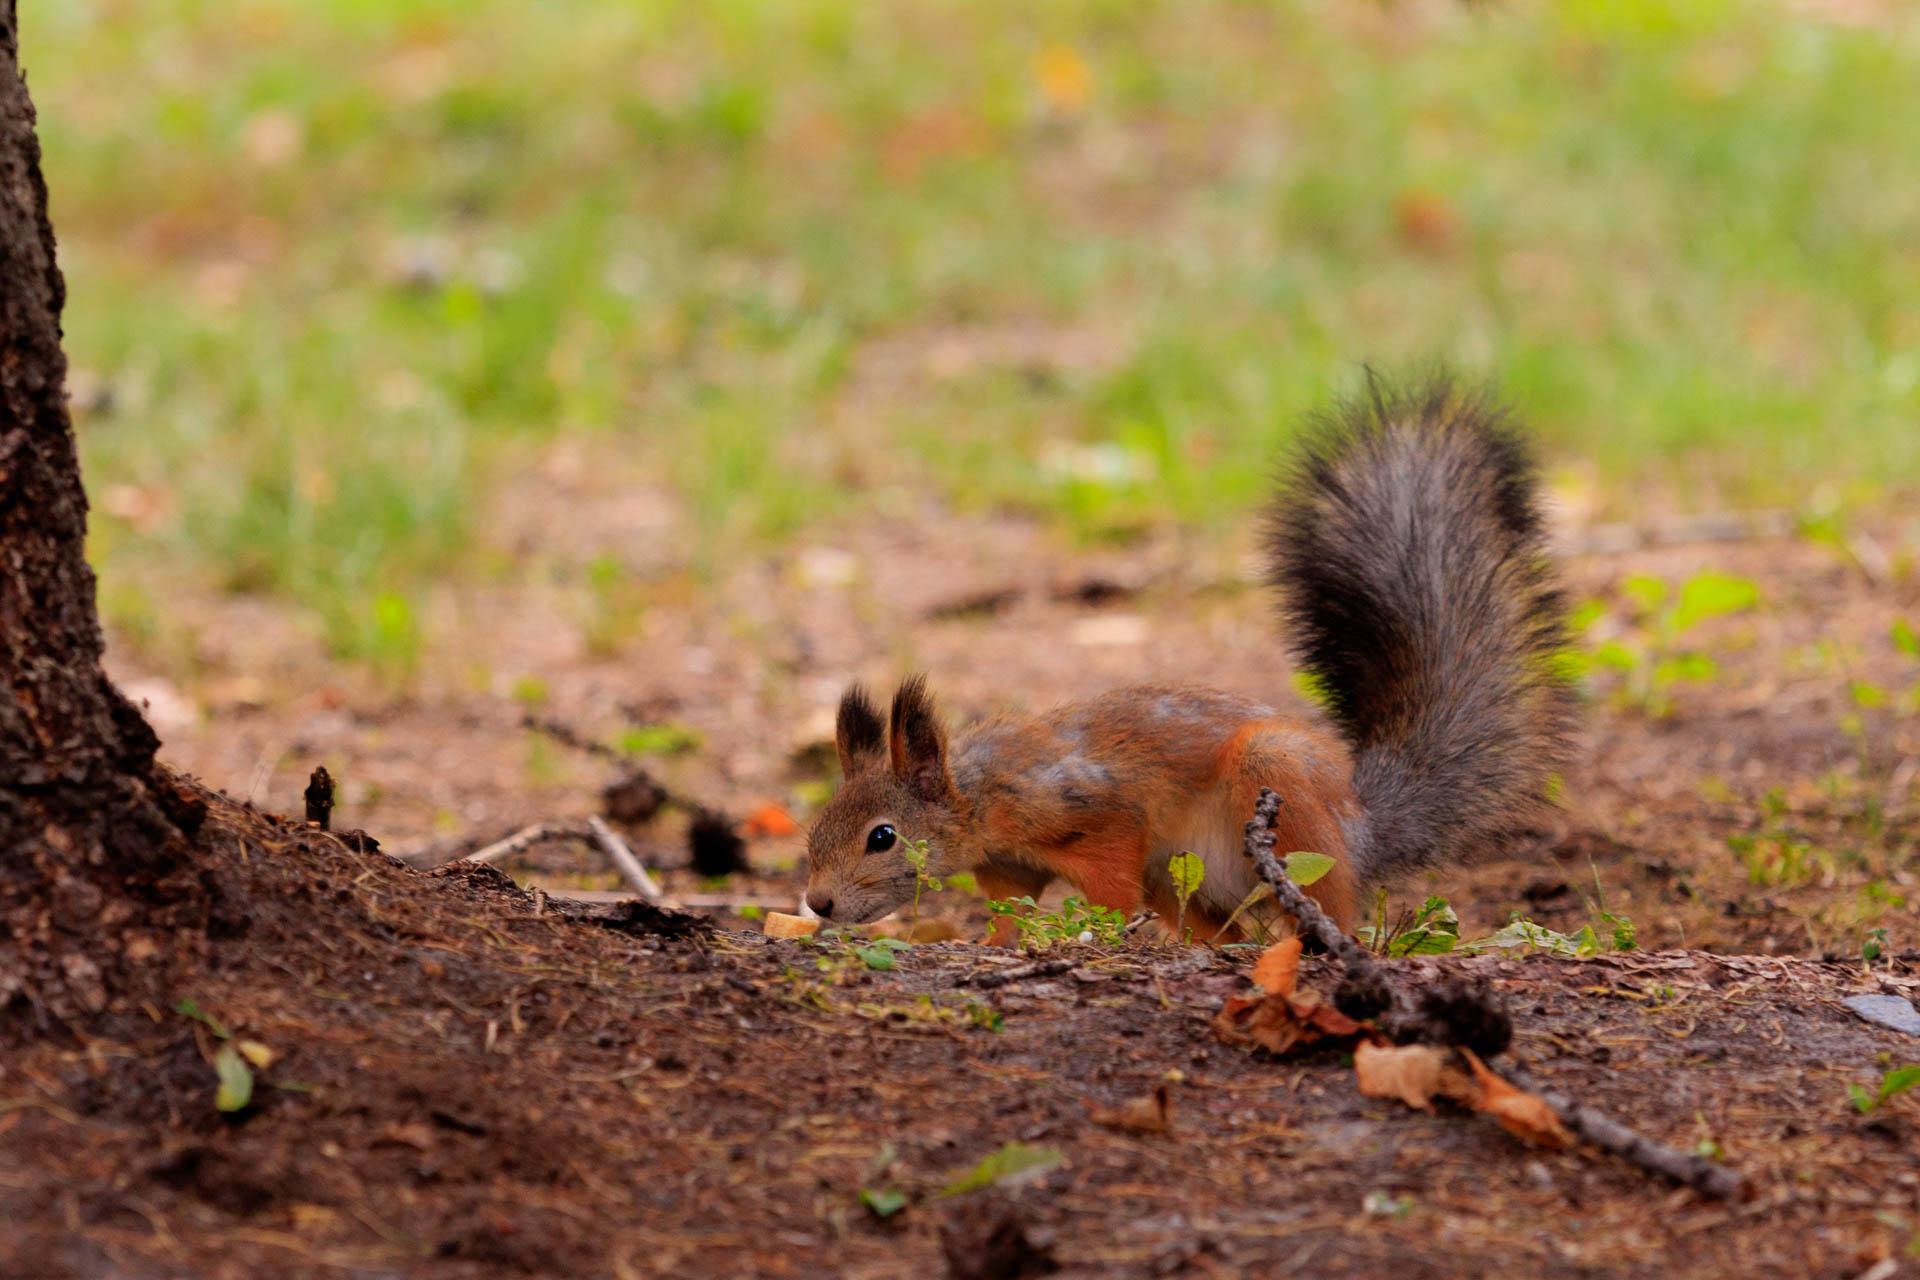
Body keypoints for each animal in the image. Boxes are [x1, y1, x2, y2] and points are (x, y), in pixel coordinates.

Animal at [794, 376, 1574, 948]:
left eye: (882, 838)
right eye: (820, 823)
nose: (818, 902)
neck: (980, 792)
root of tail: (1364, 825)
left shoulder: (1097, 815)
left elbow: (1109, 882)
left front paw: (1100, 935)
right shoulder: (1007, 870)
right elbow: (1010, 913)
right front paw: (993, 946)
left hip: (1281, 804)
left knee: (1329, 905)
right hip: (1184, 877)